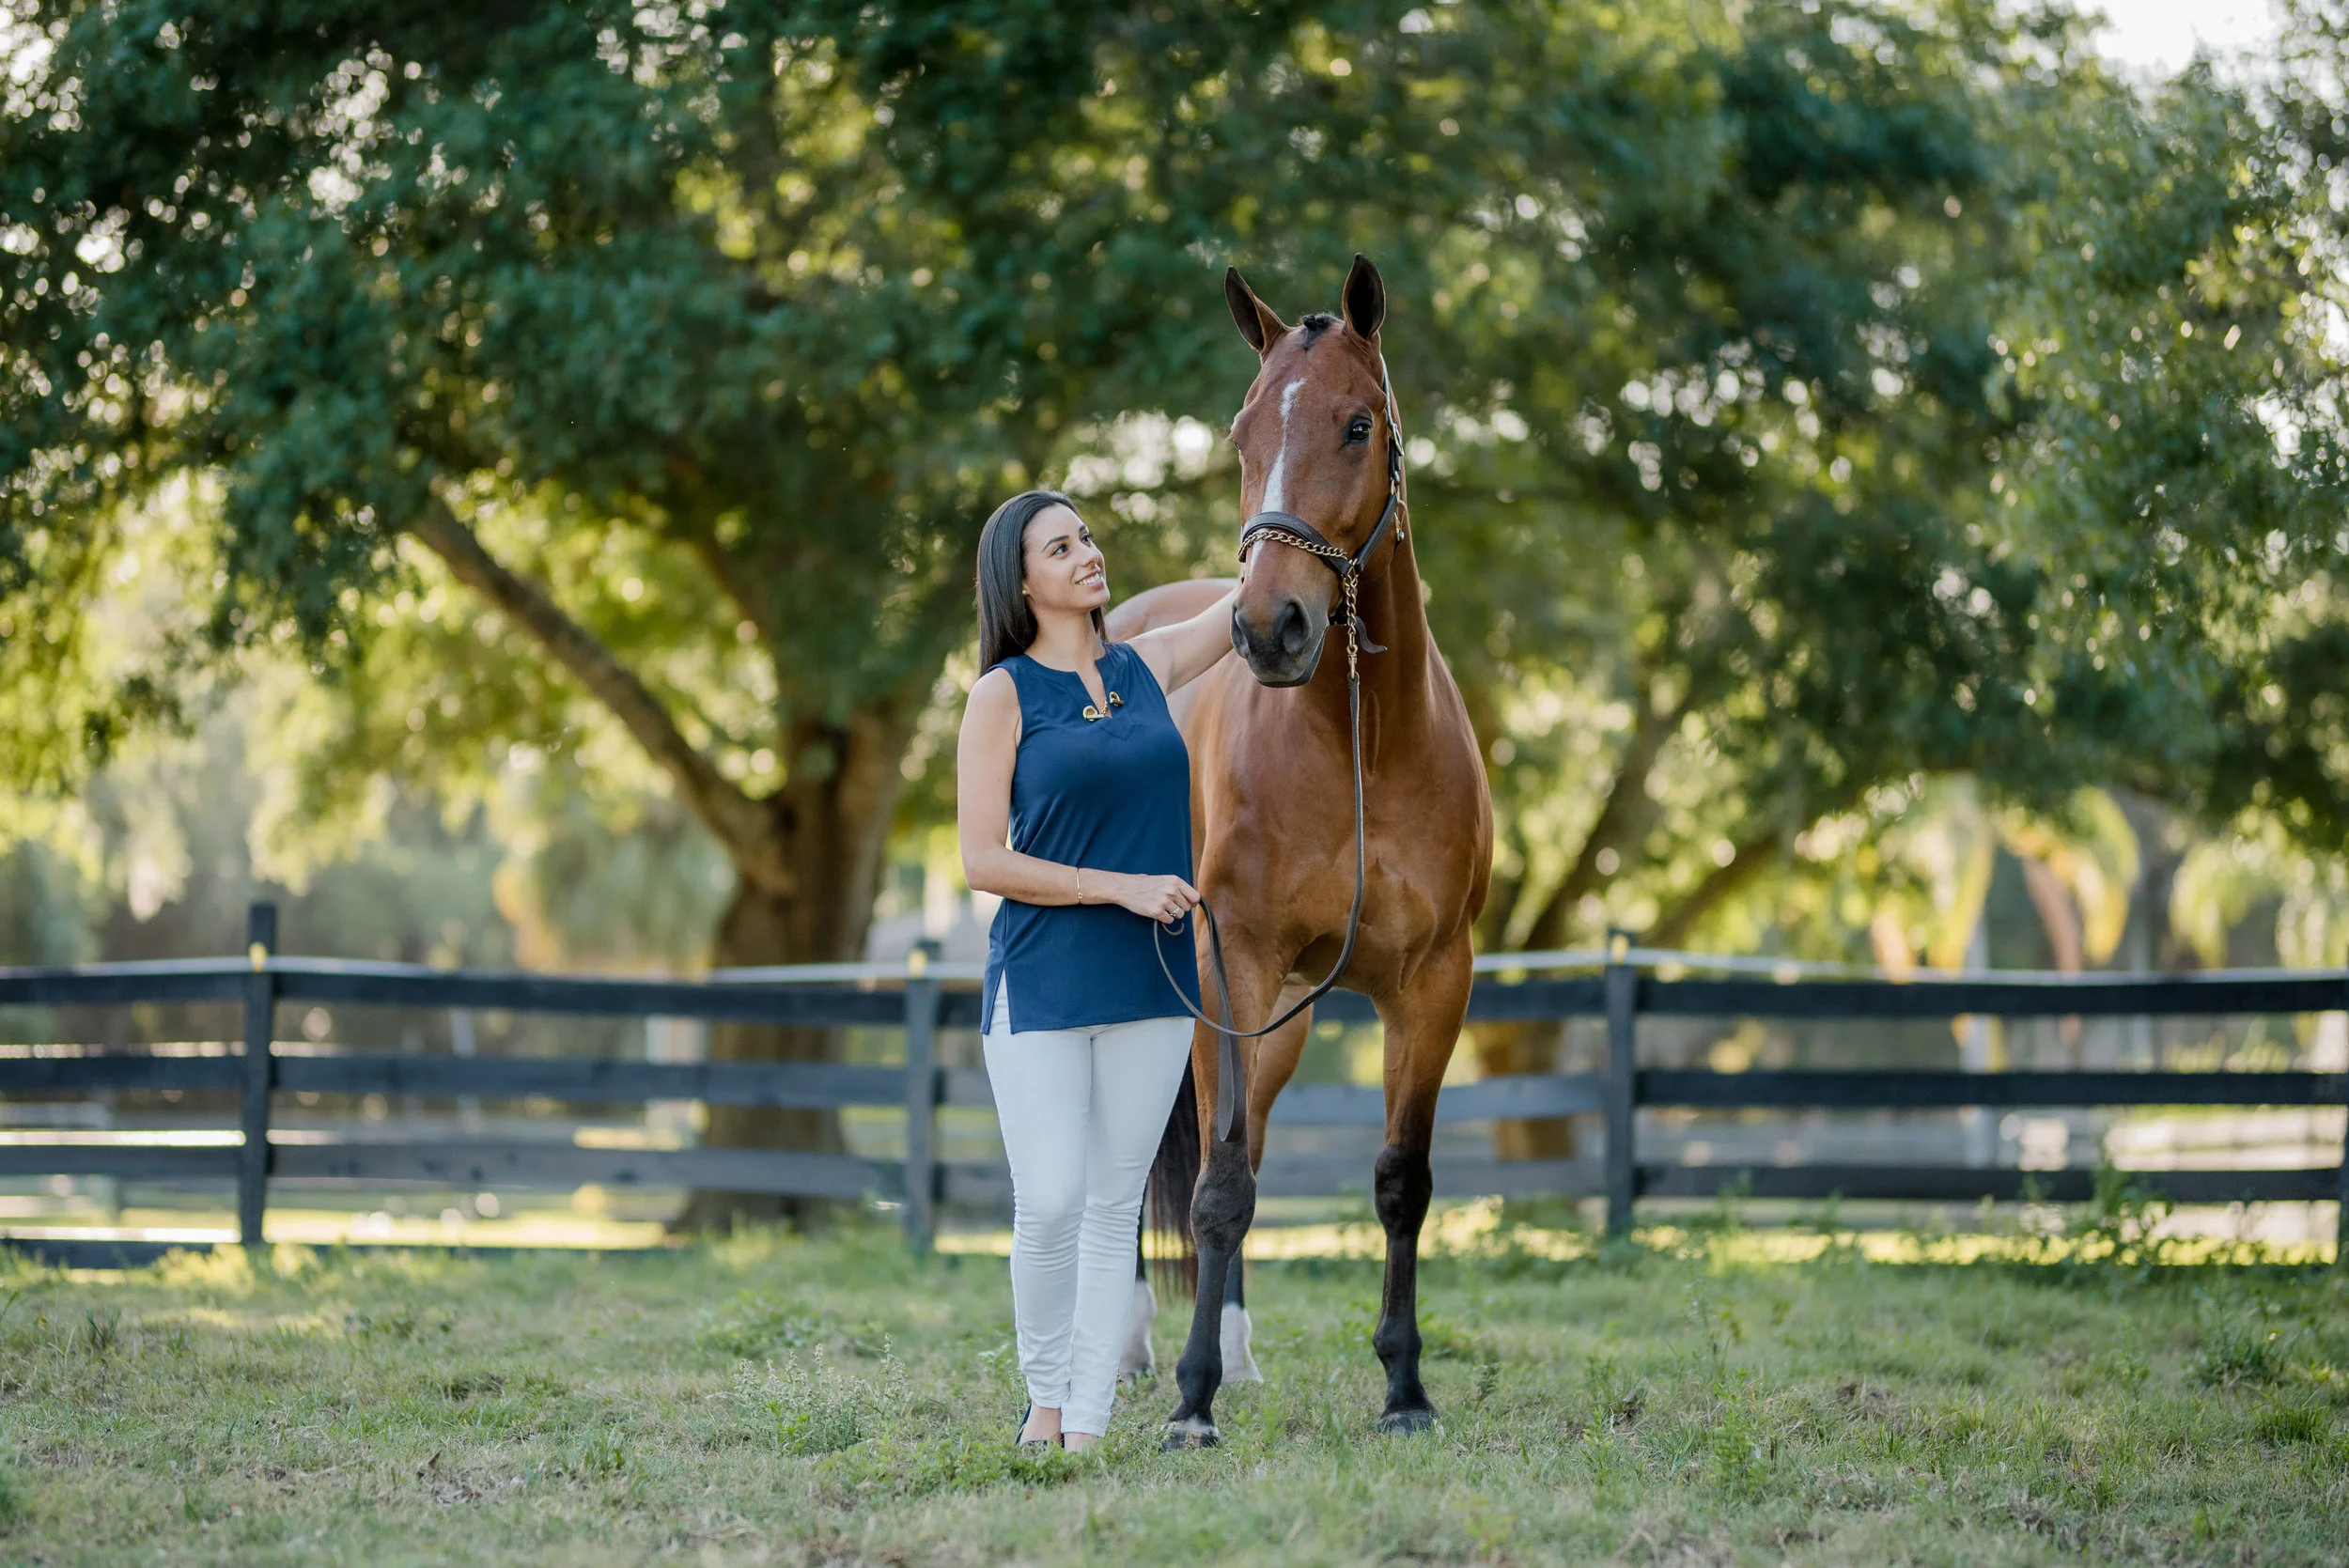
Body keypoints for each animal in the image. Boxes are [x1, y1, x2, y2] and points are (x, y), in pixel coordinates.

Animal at [1104, 255, 1492, 1444]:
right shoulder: (1232, 959)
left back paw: (1235, 1351)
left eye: (1358, 425)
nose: (1269, 627)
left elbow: (1398, 1183)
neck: (1362, 744)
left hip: (1278, 1023)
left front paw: (1404, 1387)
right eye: (1239, 434)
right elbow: (1217, 1189)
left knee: (1249, 1146)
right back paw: (1135, 1350)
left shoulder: (1433, 983)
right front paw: (1190, 1404)